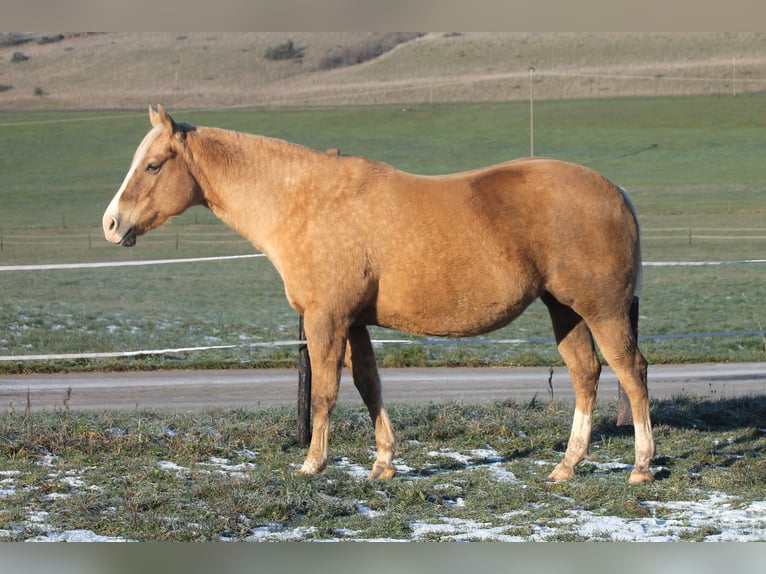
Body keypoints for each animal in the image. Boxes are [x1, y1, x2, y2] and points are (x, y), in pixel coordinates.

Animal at [103, 105, 655, 484]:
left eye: (153, 166)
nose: (112, 223)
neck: (304, 202)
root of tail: (617, 192)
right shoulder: (354, 322)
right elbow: (369, 385)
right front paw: (384, 463)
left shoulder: (325, 319)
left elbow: (325, 392)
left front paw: (313, 463)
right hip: (565, 309)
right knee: (586, 373)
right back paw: (566, 466)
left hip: (601, 310)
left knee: (631, 372)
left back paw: (641, 466)